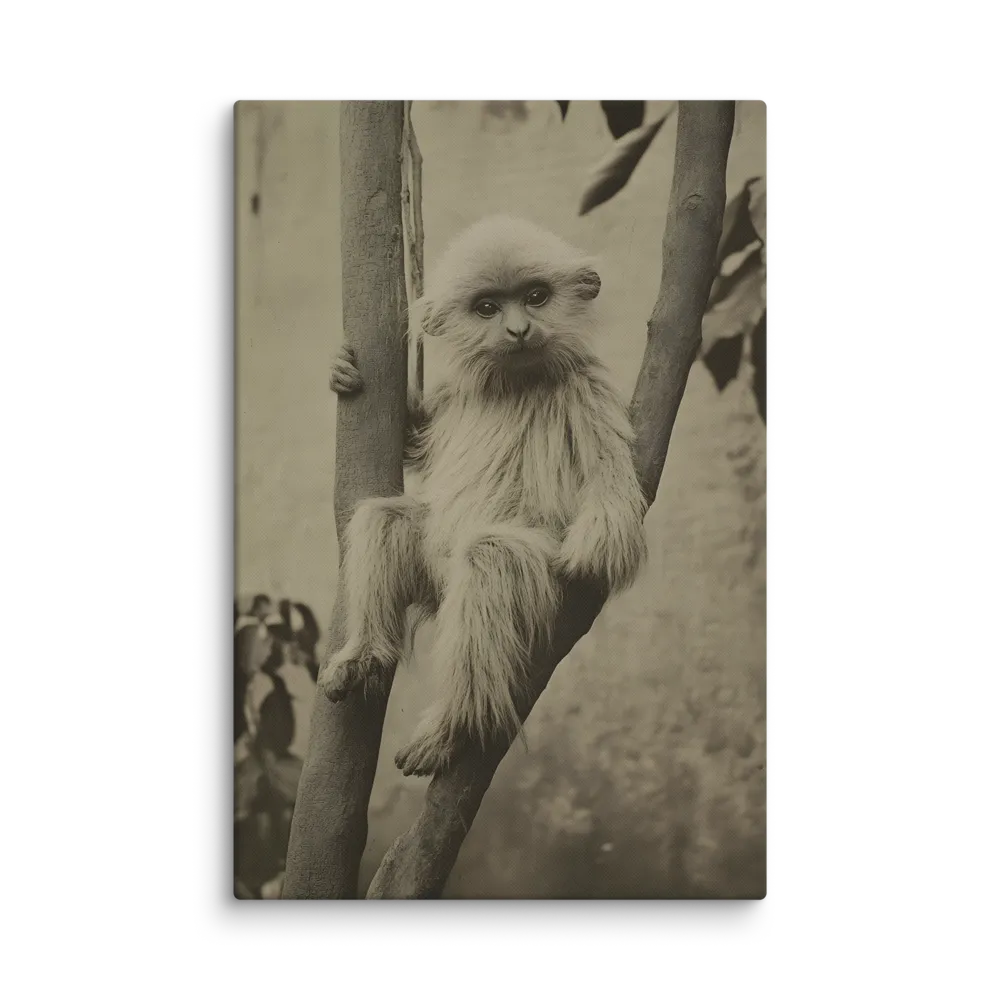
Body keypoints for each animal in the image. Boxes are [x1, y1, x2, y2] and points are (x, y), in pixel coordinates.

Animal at [323, 214, 648, 777]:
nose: (518, 330)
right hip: (429, 565)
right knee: (384, 519)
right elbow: (419, 443)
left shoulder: (586, 393)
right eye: (488, 308)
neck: (514, 383)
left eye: (536, 297)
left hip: (520, 579)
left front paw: (587, 553)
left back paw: (451, 728)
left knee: (489, 561)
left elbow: (612, 489)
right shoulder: (455, 399)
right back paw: (363, 656)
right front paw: (343, 373)